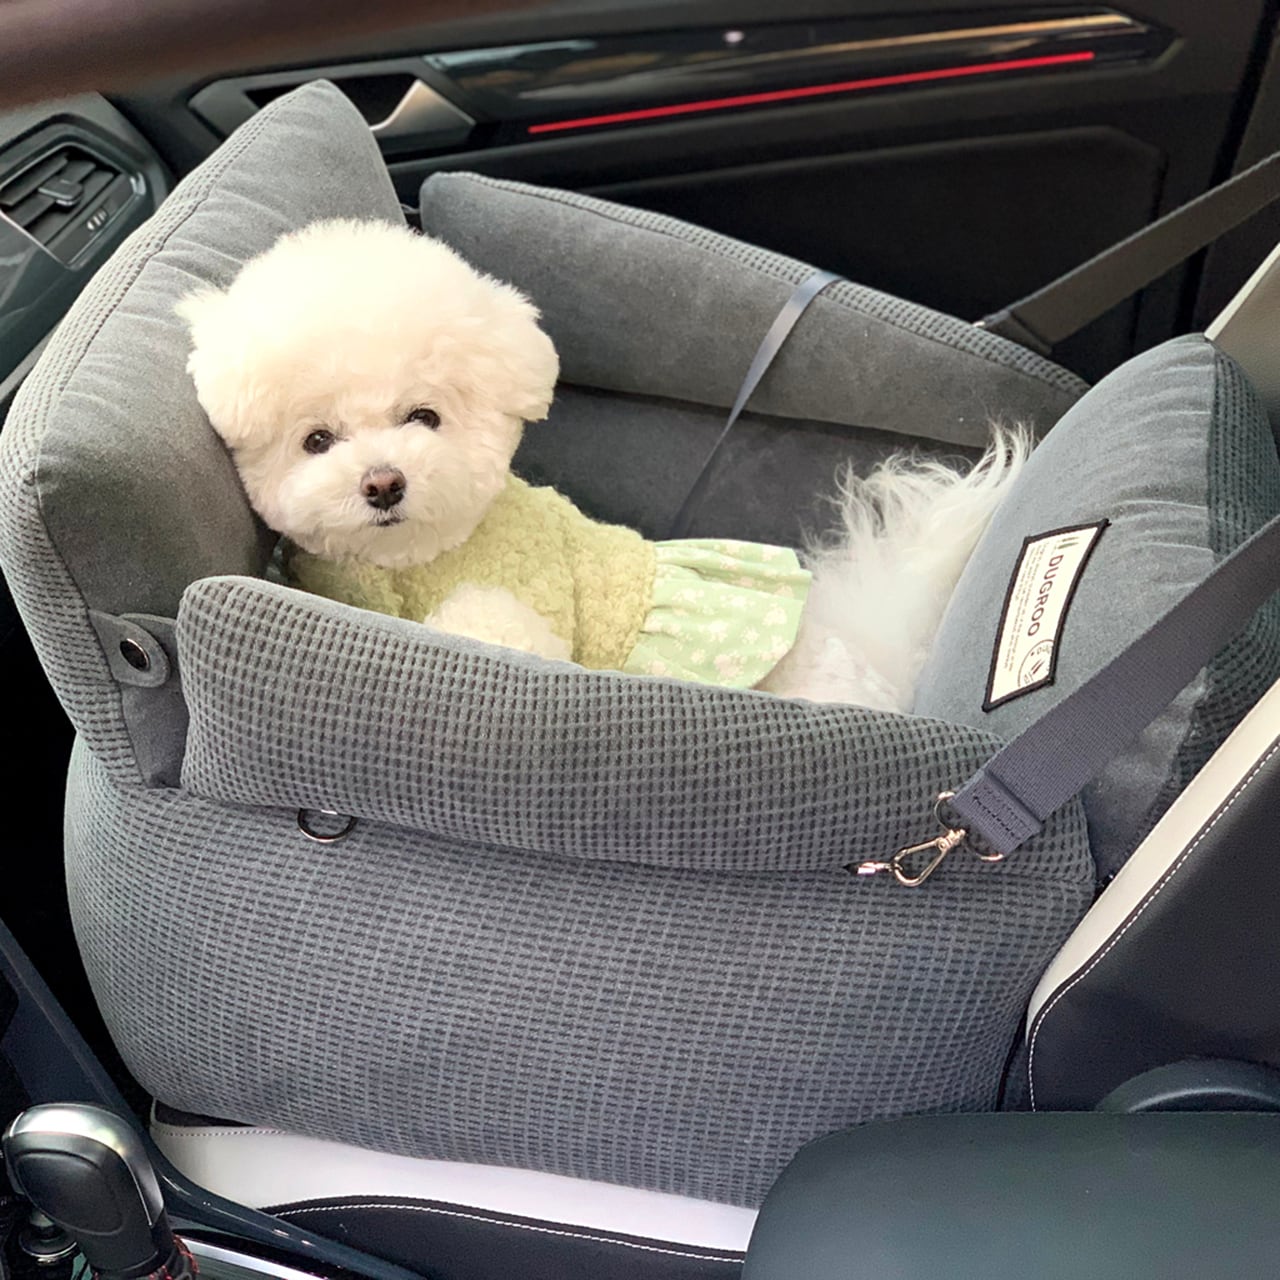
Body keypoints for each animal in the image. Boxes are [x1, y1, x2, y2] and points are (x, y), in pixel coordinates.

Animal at [177, 218, 1026, 712]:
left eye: (424, 417)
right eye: (317, 440)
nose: (384, 482)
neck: (417, 559)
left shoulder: (520, 614)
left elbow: (492, 628)